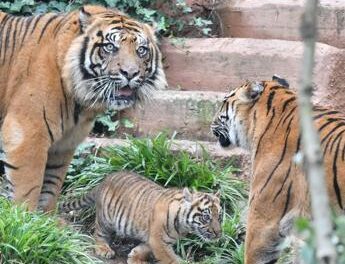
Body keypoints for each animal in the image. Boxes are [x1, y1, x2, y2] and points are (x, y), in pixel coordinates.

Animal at [0, 5, 167, 212]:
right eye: (110, 47)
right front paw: (24, 216)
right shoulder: (27, 130)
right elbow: (28, 187)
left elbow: (51, 184)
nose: (130, 73)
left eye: (141, 50)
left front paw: (46, 218)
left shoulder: (65, 143)